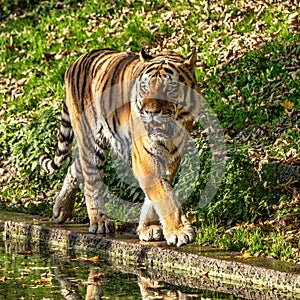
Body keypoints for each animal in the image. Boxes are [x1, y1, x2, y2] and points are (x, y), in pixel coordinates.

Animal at [39, 48, 203, 246]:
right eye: (145, 87)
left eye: (169, 88)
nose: (150, 112)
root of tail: (76, 61)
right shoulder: (145, 157)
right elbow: (164, 195)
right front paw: (179, 232)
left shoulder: (171, 157)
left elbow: (158, 193)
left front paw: (148, 228)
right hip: (90, 140)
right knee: (91, 183)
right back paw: (99, 222)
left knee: (75, 166)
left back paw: (61, 209)